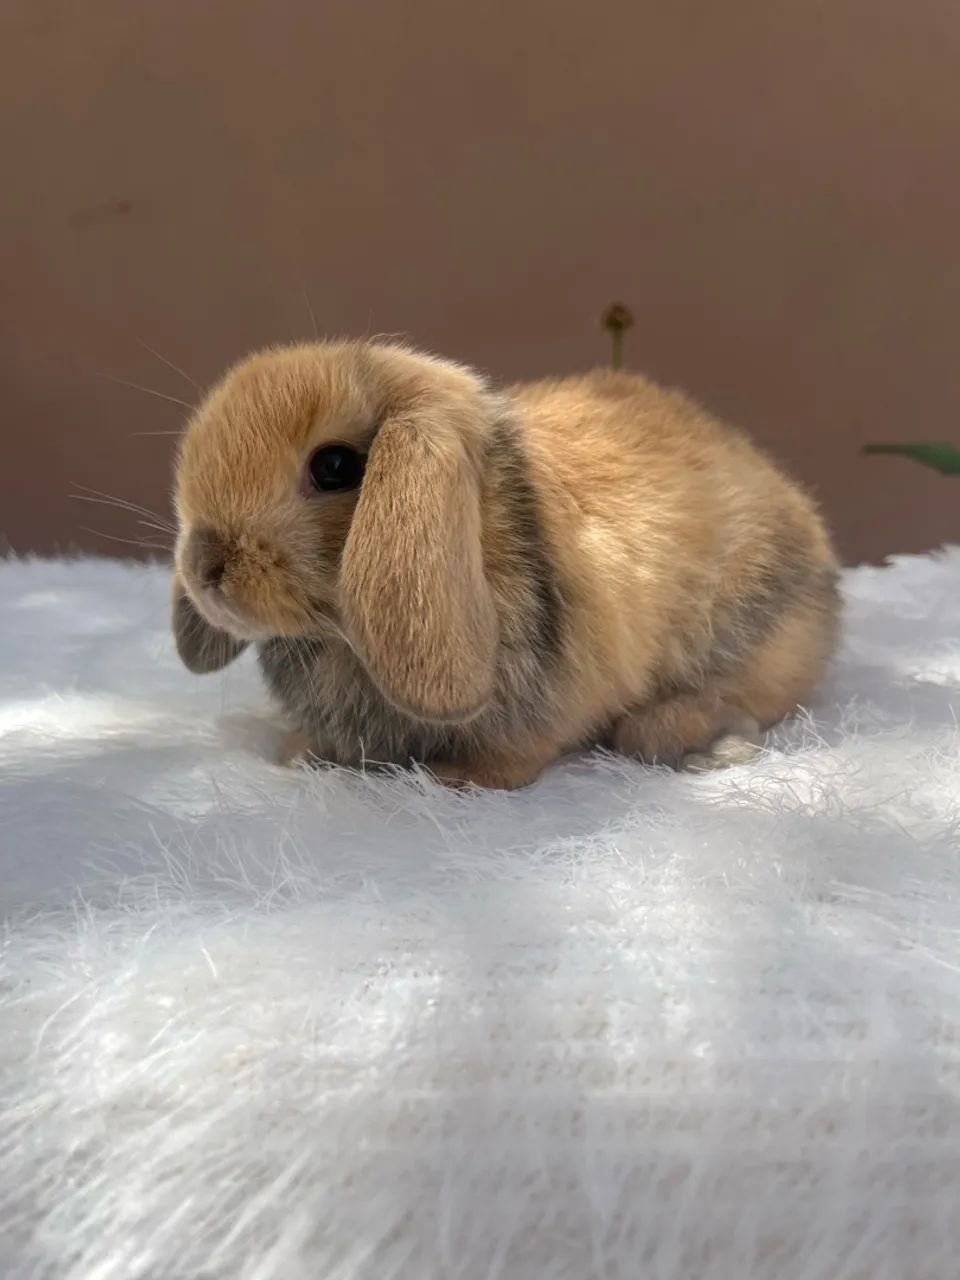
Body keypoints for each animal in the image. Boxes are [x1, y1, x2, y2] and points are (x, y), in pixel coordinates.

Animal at [172, 340, 840, 789]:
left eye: (334, 466)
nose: (206, 567)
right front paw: (301, 754)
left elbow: (513, 757)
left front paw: (454, 778)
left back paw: (705, 744)